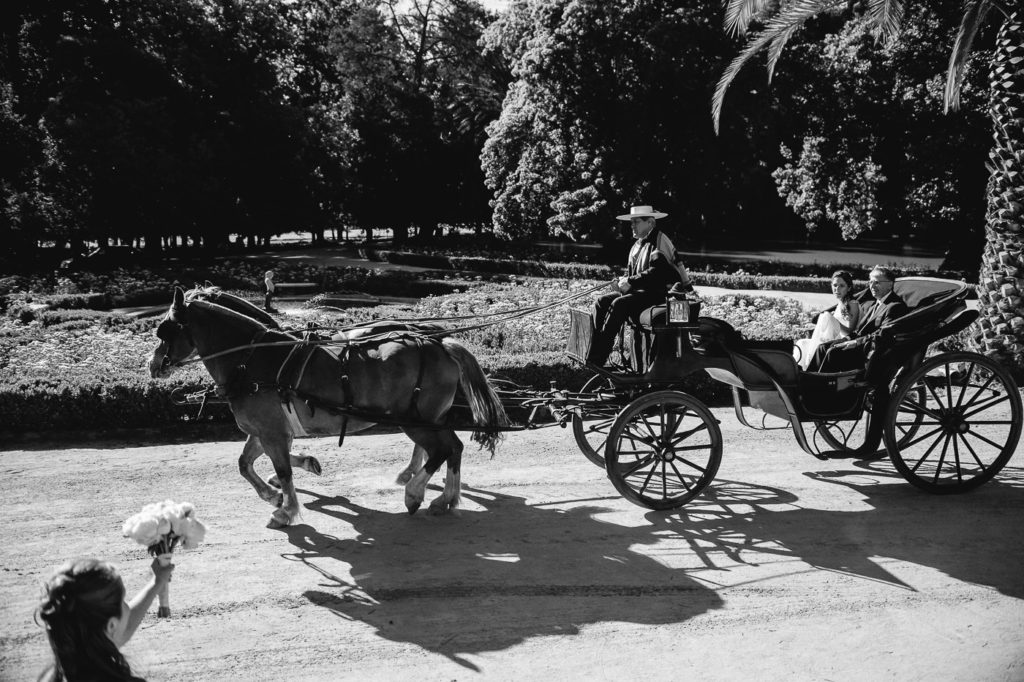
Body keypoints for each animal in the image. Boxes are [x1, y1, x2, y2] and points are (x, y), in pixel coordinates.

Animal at [147, 286, 507, 524]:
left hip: (416, 419)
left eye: (165, 330)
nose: (152, 366)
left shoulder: (272, 432)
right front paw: (274, 492)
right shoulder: (263, 429)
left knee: (442, 449)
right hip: (431, 418)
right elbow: (244, 463)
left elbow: (283, 469)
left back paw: (415, 491)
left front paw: (287, 508)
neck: (251, 360)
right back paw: (443, 496)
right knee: (453, 448)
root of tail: (439, 342)